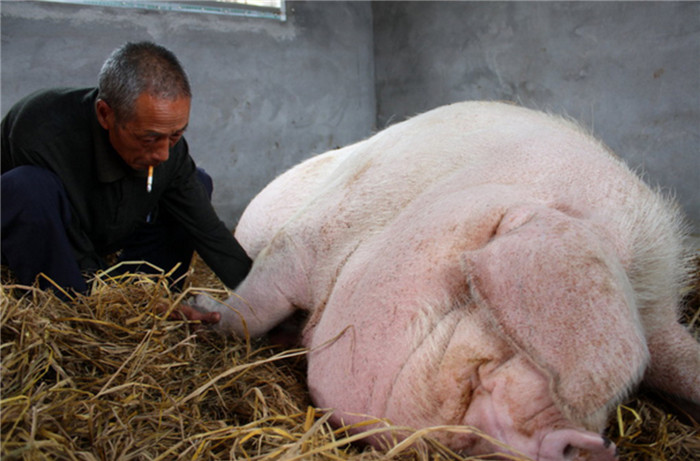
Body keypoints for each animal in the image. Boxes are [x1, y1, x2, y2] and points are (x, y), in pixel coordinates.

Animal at [193, 101, 700, 460]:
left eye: (626, 392)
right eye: (477, 296)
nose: (588, 444)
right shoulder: (311, 234)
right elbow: (255, 305)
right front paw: (200, 312)